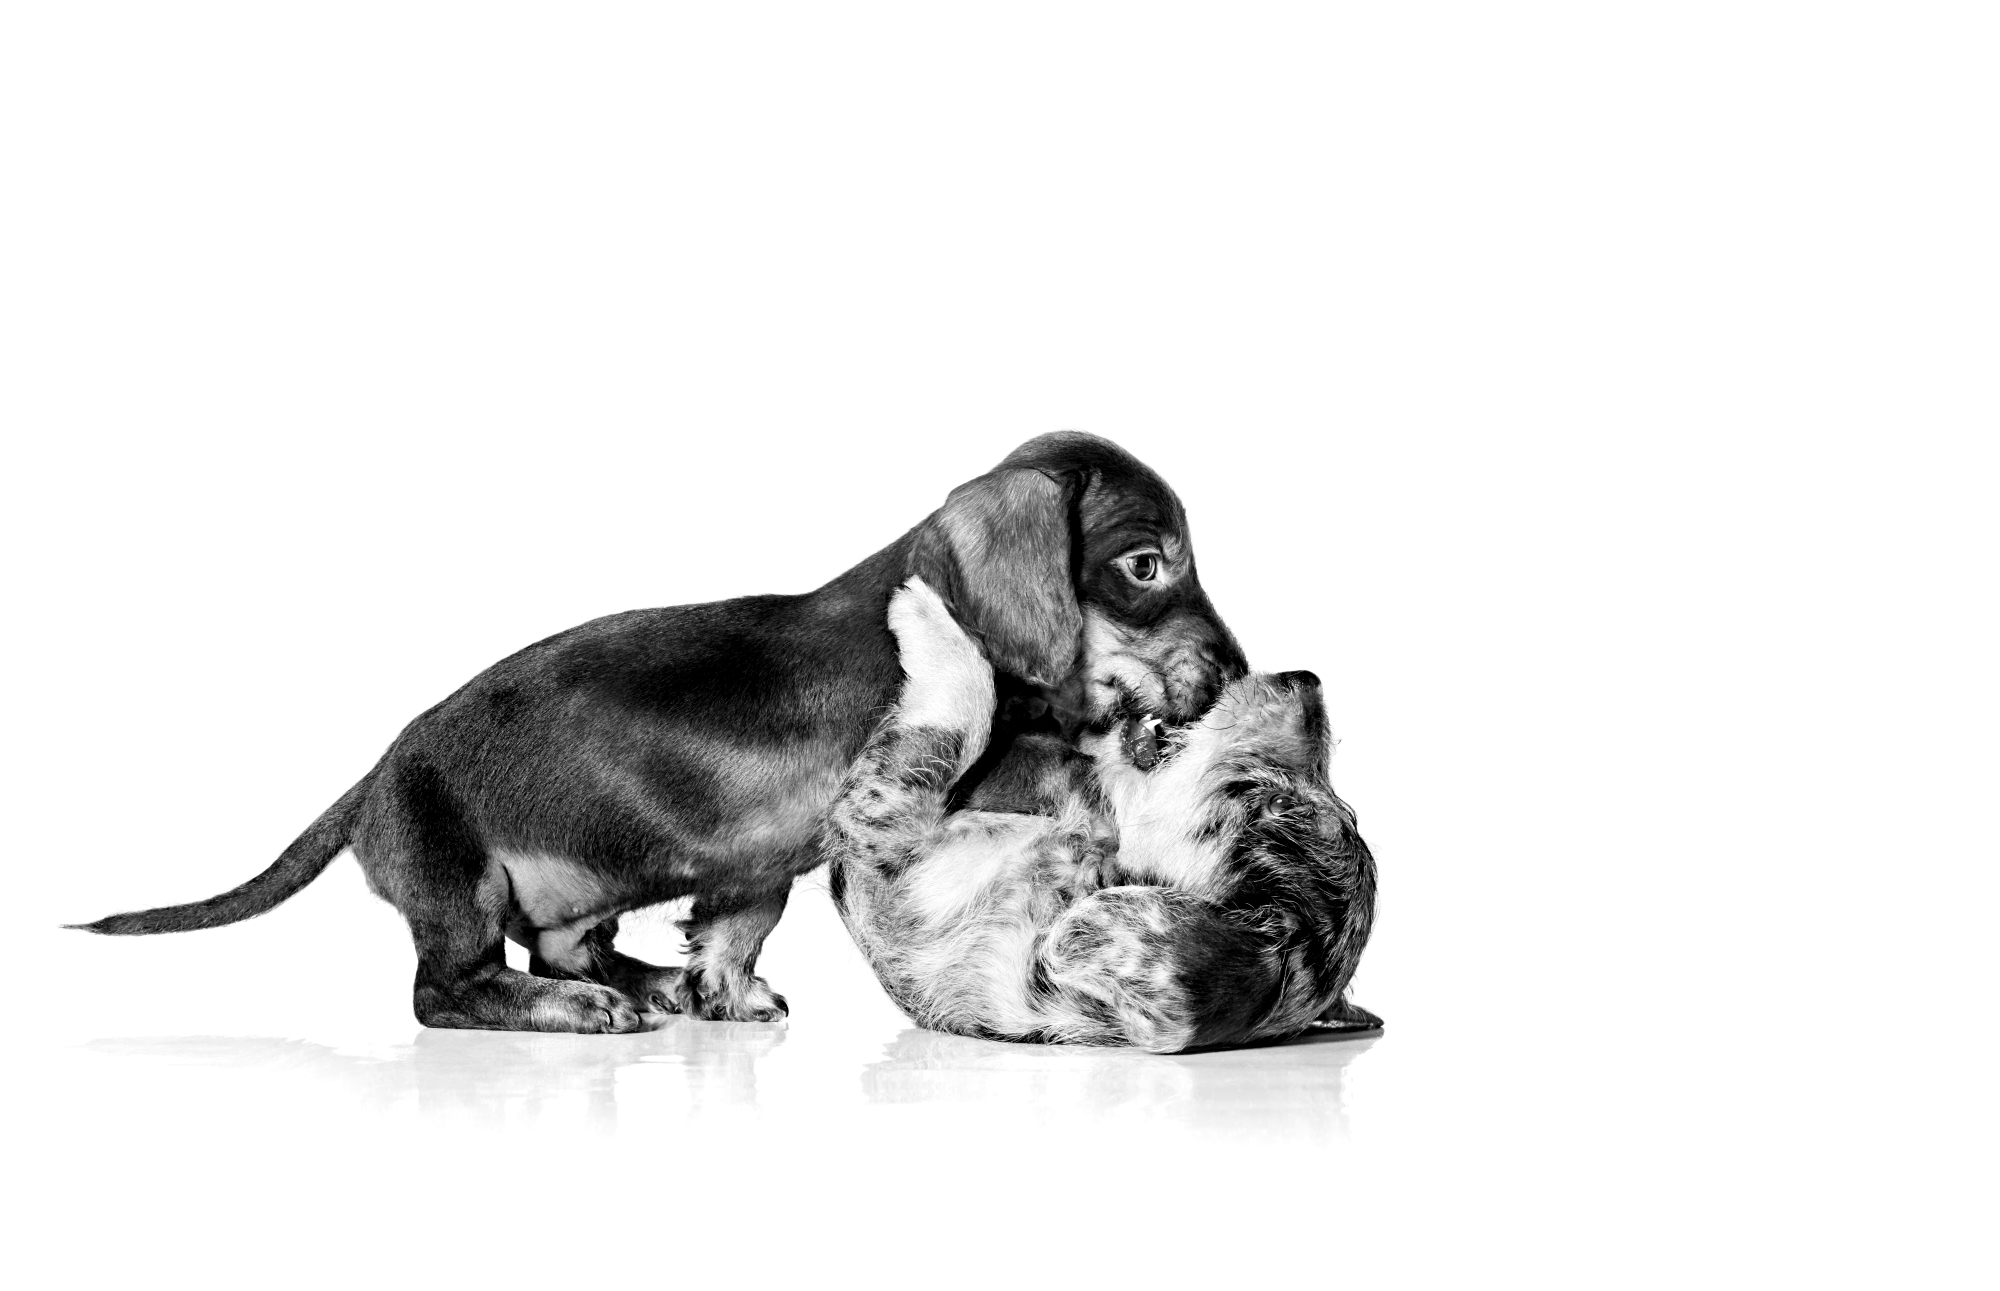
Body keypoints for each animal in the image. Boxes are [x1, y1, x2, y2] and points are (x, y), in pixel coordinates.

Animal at [74, 431, 1232, 1031]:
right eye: (1145, 564)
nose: (1229, 671)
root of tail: (368, 781)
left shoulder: (759, 867)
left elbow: (735, 925)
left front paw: (723, 988)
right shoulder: (933, 766)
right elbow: (1026, 747)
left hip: (574, 884)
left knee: (559, 945)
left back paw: (639, 986)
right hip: (461, 887)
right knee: (445, 989)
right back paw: (573, 1008)